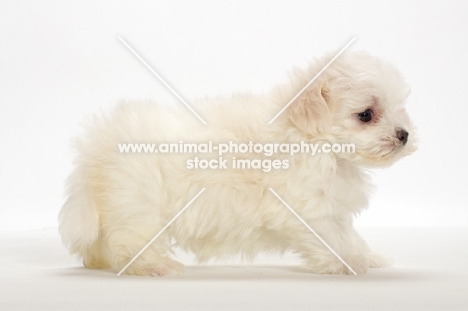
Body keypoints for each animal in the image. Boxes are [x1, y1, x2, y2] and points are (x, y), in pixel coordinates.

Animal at [59, 51, 416, 278]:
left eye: (399, 108)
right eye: (366, 114)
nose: (404, 135)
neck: (316, 142)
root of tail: (98, 144)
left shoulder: (331, 204)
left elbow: (349, 234)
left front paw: (366, 256)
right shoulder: (308, 206)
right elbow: (333, 237)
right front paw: (348, 263)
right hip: (139, 204)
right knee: (130, 241)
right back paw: (151, 266)